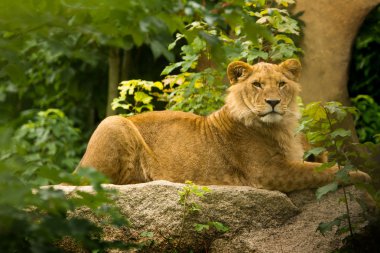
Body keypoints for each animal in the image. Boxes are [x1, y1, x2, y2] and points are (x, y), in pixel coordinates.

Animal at [75, 59, 370, 193]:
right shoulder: (267, 173)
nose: (273, 102)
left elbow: (320, 162)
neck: (280, 126)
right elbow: (322, 171)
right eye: (257, 85)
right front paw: (362, 176)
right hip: (113, 122)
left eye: (281, 84)